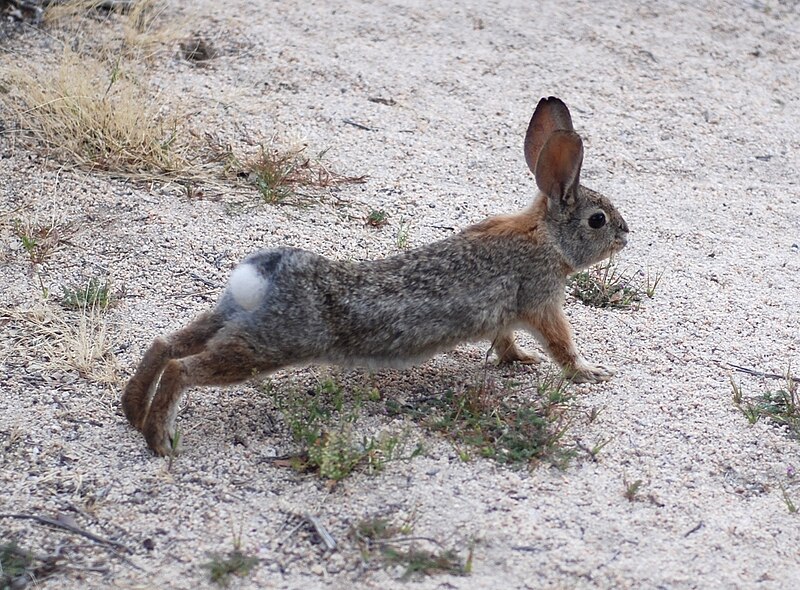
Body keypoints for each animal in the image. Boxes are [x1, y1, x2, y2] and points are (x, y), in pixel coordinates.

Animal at [122, 97, 628, 458]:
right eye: (598, 220)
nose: (627, 235)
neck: (547, 237)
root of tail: (264, 274)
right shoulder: (541, 300)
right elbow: (560, 343)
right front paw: (590, 372)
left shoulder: (505, 316)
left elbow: (505, 341)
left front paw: (520, 360)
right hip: (273, 343)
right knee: (181, 368)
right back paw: (159, 441)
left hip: (232, 318)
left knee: (165, 344)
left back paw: (132, 412)